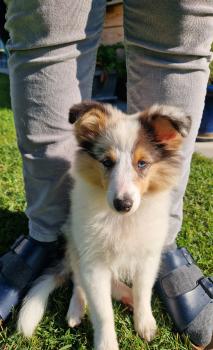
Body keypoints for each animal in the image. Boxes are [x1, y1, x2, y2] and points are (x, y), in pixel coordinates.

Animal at [17, 101, 191, 350]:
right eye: (107, 162)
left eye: (142, 163)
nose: (123, 204)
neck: (122, 221)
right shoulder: (93, 263)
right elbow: (102, 311)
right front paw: (107, 343)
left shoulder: (148, 257)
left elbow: (143, 291)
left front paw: (145, 323)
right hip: (75, 244)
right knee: (78, 282)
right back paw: (77, 309)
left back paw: (126, 295)